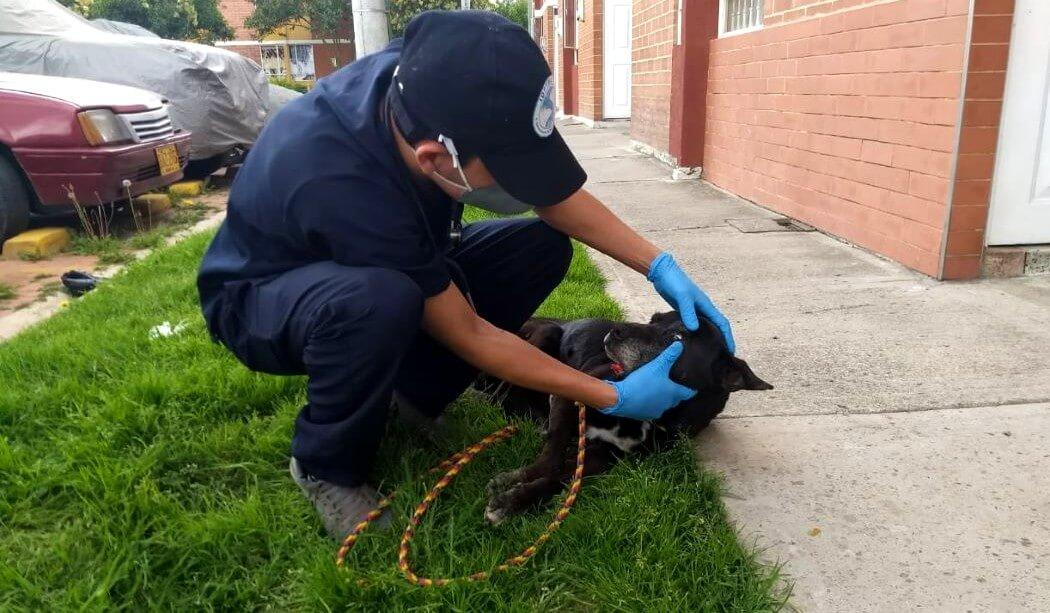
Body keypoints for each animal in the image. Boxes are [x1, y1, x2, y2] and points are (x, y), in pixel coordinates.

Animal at [480, 312, 772, 524]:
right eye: (653, 319)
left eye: (678, 336)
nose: (615, 330)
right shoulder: (569, 395)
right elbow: (552, 458)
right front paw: (513, 489)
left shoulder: (609, 457)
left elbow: (566, 475)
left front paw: (517, 499)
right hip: (542, 337)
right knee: (497, 393)